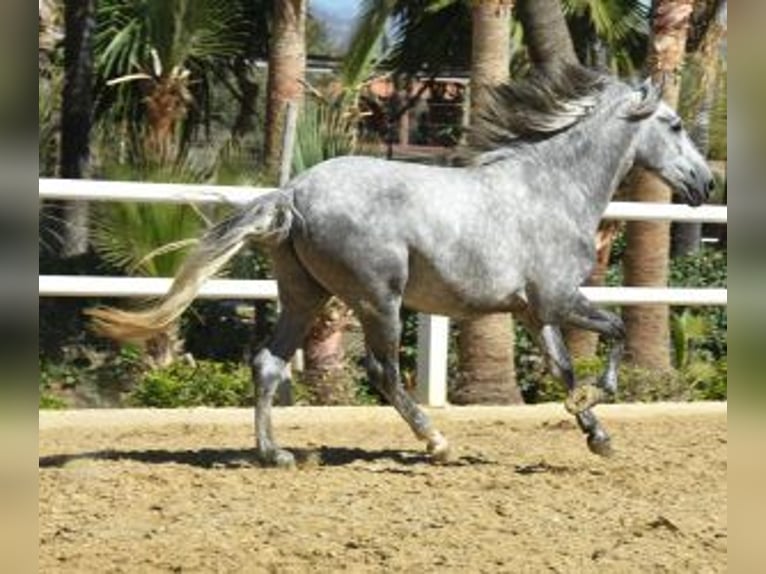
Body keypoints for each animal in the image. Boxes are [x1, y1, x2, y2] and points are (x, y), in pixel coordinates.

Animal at [88, 65, 712, 468]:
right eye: (675, 124)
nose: (705, 185)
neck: (551, 189)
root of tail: (292, 192)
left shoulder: (534, 313)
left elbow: (563, 367)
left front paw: (597, 435)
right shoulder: (558, 299)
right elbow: (617, 332)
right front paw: (592, 408)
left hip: (304, 296)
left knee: (267, 363)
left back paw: (275, 454)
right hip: (376, 298)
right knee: (382, 372)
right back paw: (436, 443)